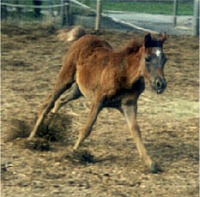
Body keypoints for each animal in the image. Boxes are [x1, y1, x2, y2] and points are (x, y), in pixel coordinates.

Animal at [28, 26, 167, 172]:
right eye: (147, 58)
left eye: (165, 59)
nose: (160, 84)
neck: (126, 74)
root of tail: (84, 37)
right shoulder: (98, 101)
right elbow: (87, 128)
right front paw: (73, 153)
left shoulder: (129, 105)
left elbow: (135, 130)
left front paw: (150, 163)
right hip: (66, 77)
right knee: (48, 103)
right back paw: (32, 137)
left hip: (78, 90)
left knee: (60, 100)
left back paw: (49, 128)